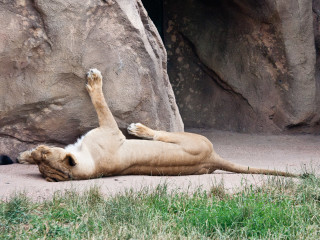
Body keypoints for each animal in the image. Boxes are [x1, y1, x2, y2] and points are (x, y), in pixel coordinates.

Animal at [17, 69, 298, 182]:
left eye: (45, 152)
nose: (37, 148)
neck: (91, 166)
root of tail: (213, 158)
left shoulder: (109, 129)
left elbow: (101, 103)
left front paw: (94, 79)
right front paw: (23, 156)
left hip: (184, 137)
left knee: (159, 132)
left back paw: (137, 128)